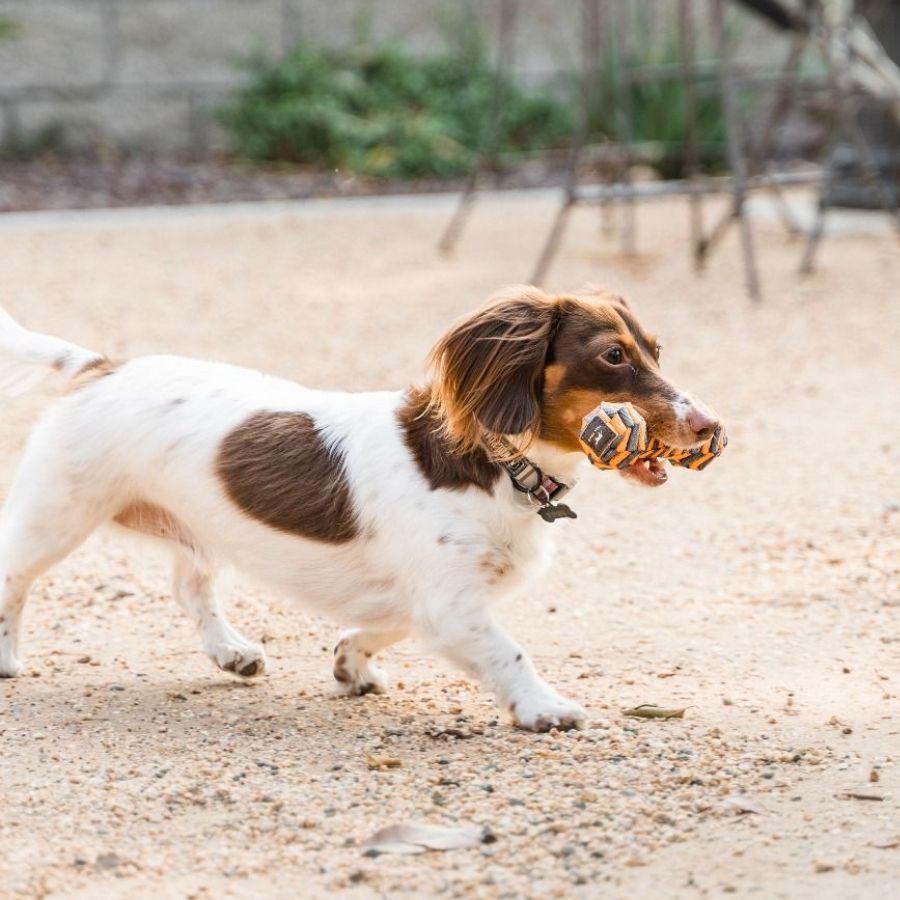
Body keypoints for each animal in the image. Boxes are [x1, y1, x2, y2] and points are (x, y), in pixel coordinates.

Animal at [0, 288, 716, 732]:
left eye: (656, 350)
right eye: (612, 356)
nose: (710, 426)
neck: (495, 466)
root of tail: (101, 366)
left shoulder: (424, 600)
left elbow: (382, 626)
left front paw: (350, 663)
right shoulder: (449, 604)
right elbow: (509, 652)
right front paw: (544, 709)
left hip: (191, 528)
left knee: (190, 589)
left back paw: (232, 653)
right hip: (53, 516)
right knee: (13, 580)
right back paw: (6, 659)